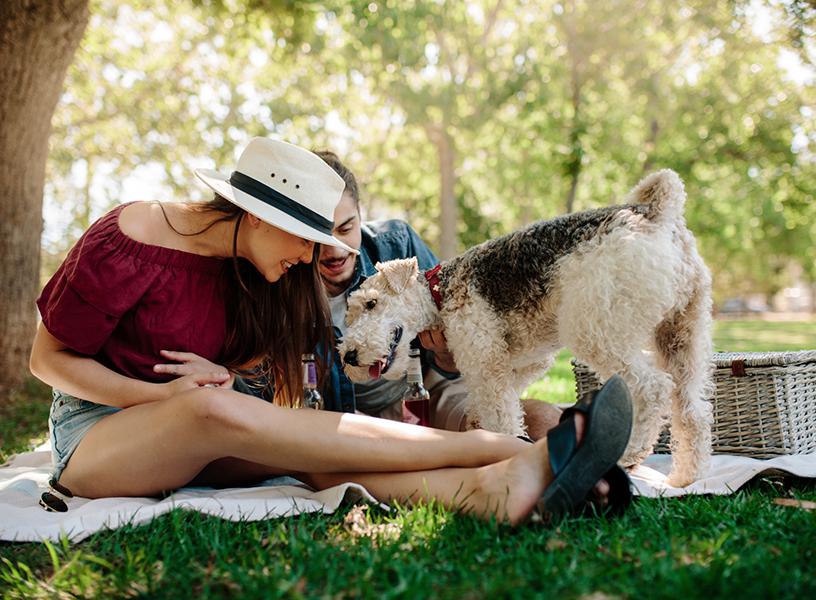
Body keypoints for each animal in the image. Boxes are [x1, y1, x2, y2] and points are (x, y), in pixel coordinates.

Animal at [338, 169, 712, 488]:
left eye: (371, 304)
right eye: (349, 315)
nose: (350, 356)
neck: (438, 291)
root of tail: (658, 212)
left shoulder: (485, 361)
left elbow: (501, 418)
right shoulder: (526, 362)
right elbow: (496, 402)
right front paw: (476, 424)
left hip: (599, 329)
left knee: (652, 388)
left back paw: (630, 455)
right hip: (681, 334)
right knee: (691, 411)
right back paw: (685, 478)